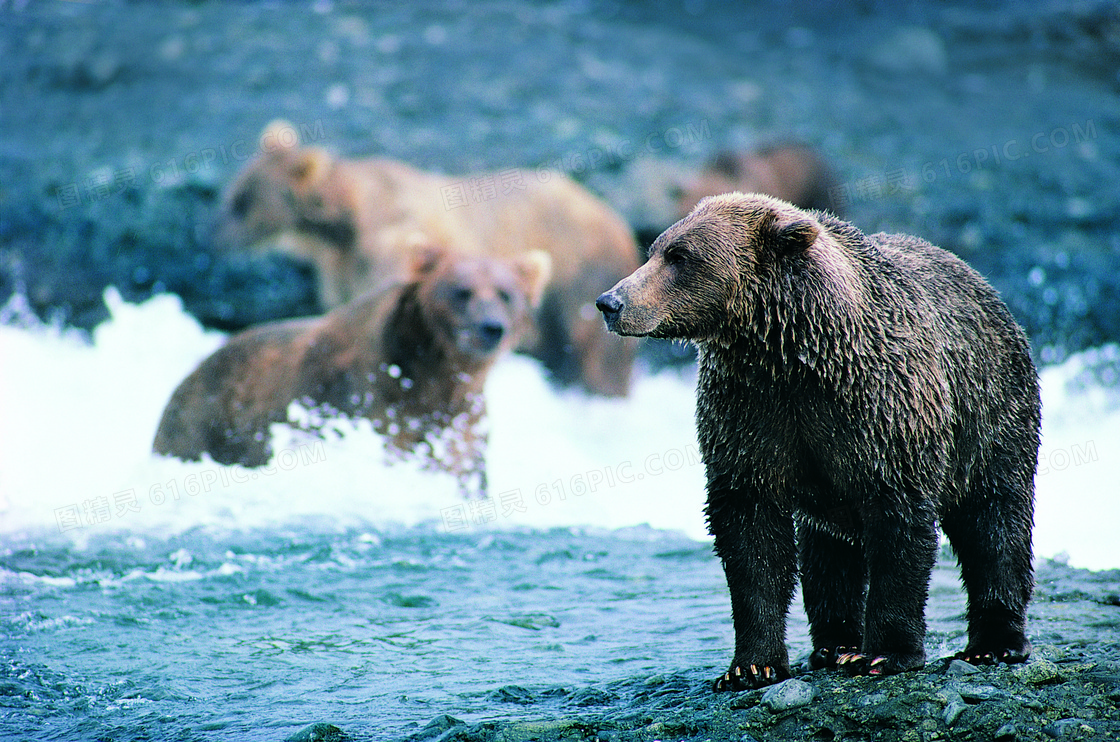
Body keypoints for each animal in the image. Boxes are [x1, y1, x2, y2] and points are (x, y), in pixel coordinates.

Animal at [154, 246, 551, 497]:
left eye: (505, 294)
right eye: (461, 291)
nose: (491, 327)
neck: (435, 373)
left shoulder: (462, 421)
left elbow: (462, 467)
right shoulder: (364, 400)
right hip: (204, 427)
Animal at [210, 120, 640, 401]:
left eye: (243, 202)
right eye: (234, 194)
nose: (212, 235)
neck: (344, 226)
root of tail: (616, 218)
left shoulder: (390, 247)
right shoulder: (345, 267)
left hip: (581, 276)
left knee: (595, 353)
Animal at [595, 192, 1039, 690]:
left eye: (680, 256)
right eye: (655, 249)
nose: (610, 302)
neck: (790, 353)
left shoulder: (882, 412)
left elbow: (900, 527)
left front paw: (885, 653)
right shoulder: (750, 413)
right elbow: (751, 537)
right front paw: (751, 664)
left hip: (991, 414)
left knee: (994, 522)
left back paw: (994, 642)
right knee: (827, 551)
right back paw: (834, 644)